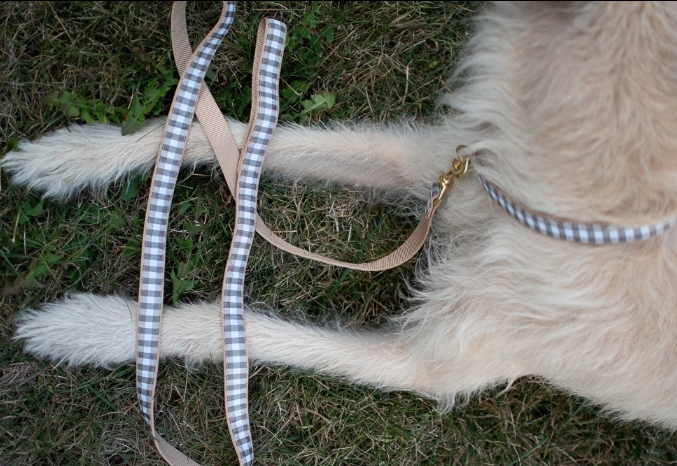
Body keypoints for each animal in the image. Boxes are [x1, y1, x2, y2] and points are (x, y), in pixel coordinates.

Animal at [3, 0, 676, 434]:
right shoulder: (442, 169)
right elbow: (230, 135)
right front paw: (69, 157)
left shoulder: (429, 361)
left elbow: (232, 331)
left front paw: (87, 329)